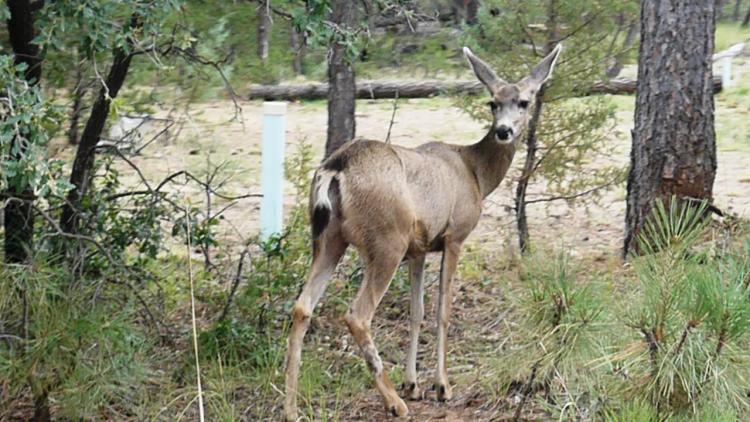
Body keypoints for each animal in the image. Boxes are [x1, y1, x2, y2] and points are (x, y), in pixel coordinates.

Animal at [284, 43, 560, 418]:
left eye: (524, 101)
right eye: (493, 102)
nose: (504, 131)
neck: (475, 173)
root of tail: (335, 169)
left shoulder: (419, 248)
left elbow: (417, 313)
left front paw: (413, 384)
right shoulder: (455, 235)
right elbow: (443, 311)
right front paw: (441, 386)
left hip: (328, 238)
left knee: (301, 307)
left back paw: (291, 409)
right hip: (387, 239)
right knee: (357, 315)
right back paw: (394, 403)